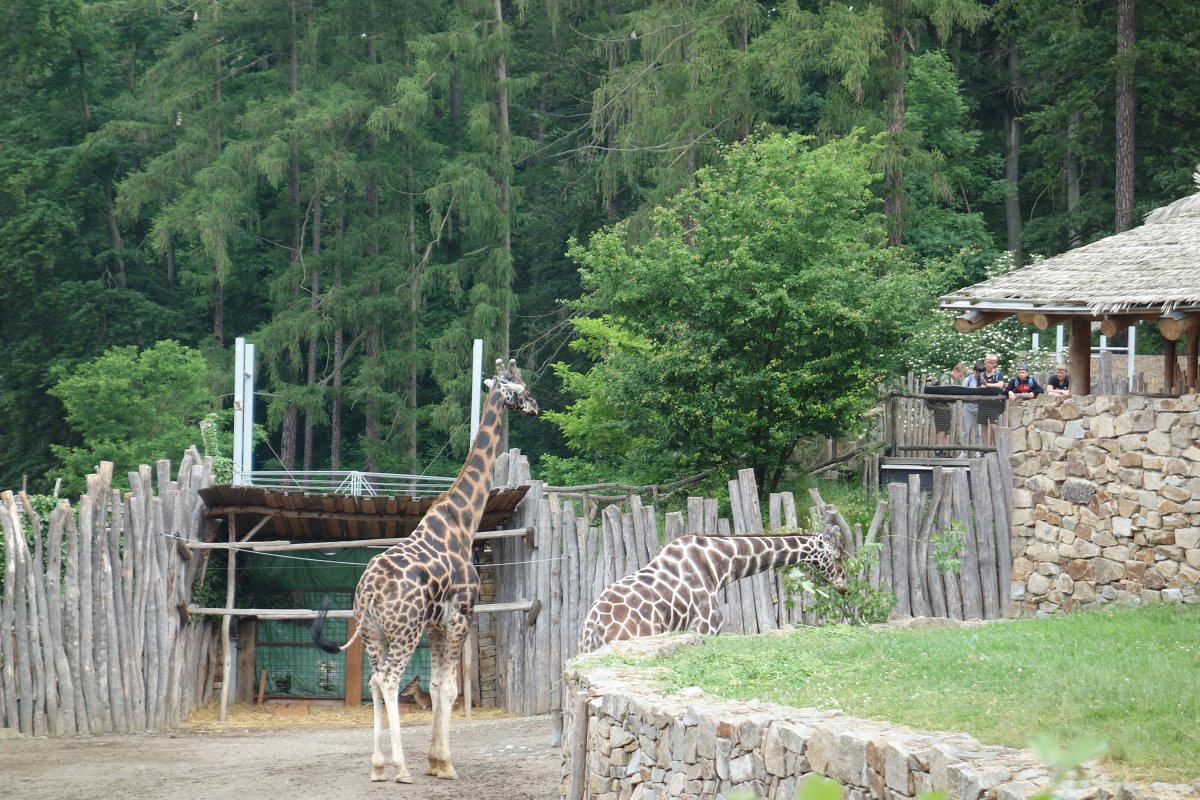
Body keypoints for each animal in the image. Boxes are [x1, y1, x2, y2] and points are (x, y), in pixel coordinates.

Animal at [312, 359, 537, 786]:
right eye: (521, 387)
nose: (536, 407)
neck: (463, 522)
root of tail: (367, 592)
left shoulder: (435, 626)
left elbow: (434, 684)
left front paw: (433, 761)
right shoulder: (460, 616)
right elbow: (448, 688)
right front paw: (444, 764)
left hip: (372, 633)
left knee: (373, 681)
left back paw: (378, 766)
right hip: (403, 632)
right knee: (387, 680)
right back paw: (399, 768)